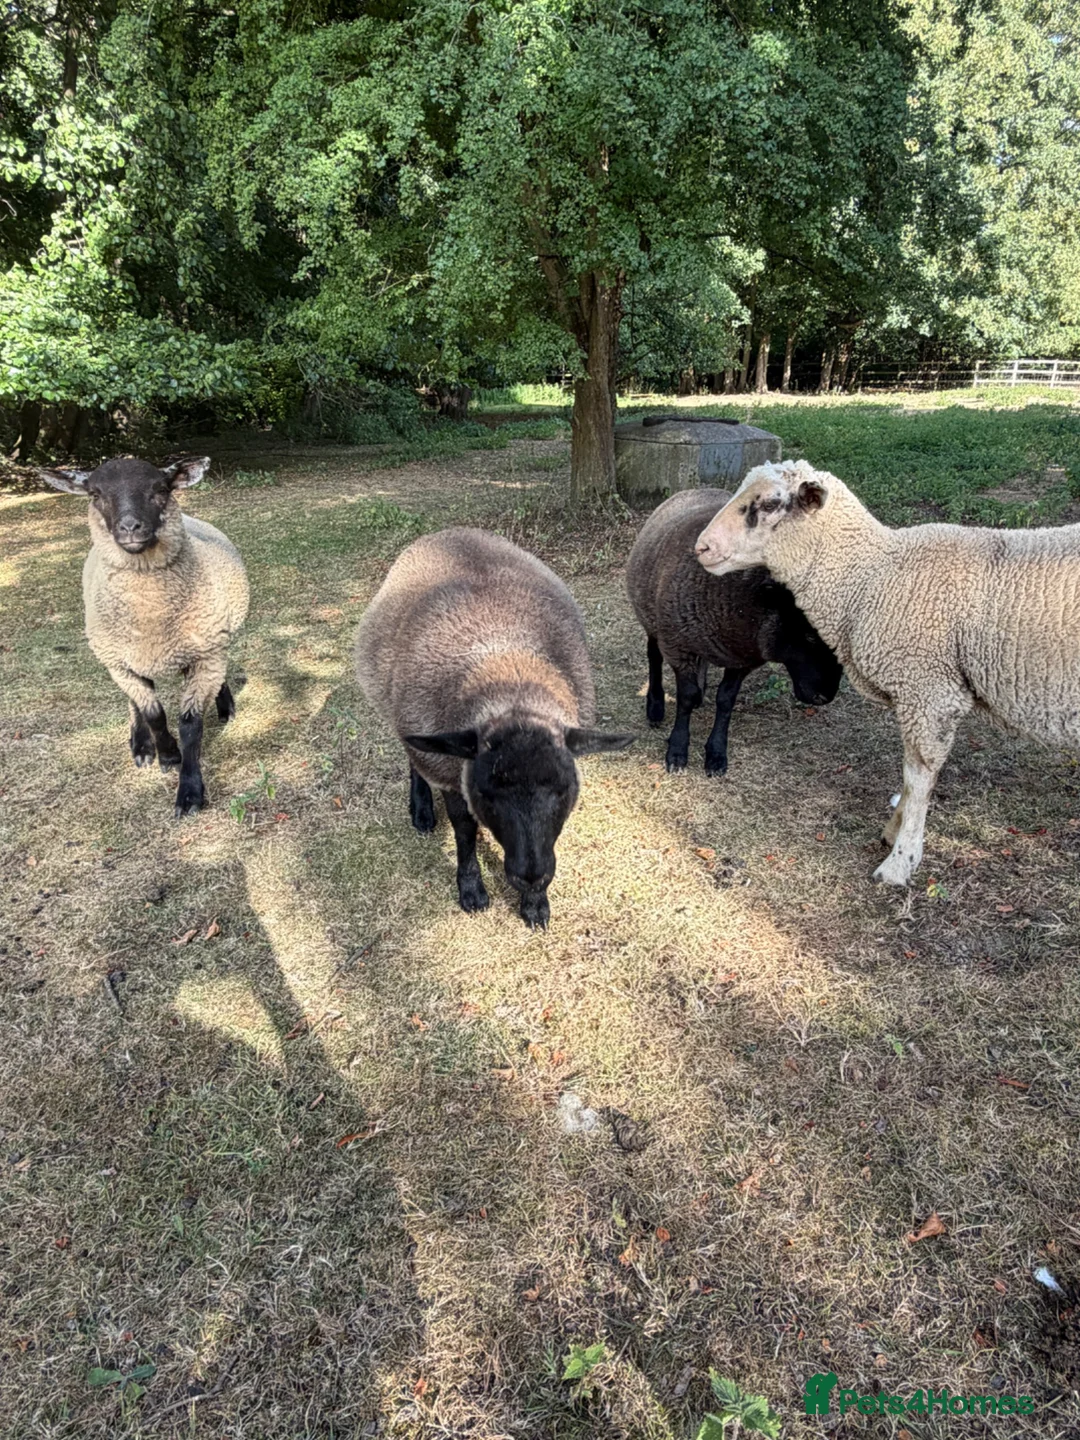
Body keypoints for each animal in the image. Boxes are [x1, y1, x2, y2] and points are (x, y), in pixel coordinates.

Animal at [41, 456, 249, 817]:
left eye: (161, 489)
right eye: (95, 493)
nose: (130, 528)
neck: (151, 617)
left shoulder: (206, 653)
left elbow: (190, 725)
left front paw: (189, 791)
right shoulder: (120, 662)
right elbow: (154, 714)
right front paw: (167, 755)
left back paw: (224, 707)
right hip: (121, 659)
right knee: (137, 701)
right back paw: (141, 745)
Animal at [355, 527, 633, 927]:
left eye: (564, 790)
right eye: (486, 793)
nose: (530, 876)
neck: (507, 670)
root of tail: (451, 530)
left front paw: (535, 904)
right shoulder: (451, 770)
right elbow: (464, 829)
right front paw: (472, 889)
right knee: (413, 756)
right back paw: (421, 810)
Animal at [626, 488, 842, 775]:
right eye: (808, 635)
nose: (824, 697)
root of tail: (695, 489)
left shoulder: (742, 658)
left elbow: (725, 699)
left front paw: (716, 754)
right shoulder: (678, 645)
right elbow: (685, 696)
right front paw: (677, 751)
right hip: (653, 617)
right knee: (654, 656)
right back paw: (655, 707)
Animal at [695, 458, 1080, 885]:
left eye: (768, 504)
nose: (702, 547)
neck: (871, 576)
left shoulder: (929, 689)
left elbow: (918, 774)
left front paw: (900, 861)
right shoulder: (919, 693)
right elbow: (910, 775)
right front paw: (894, 832)